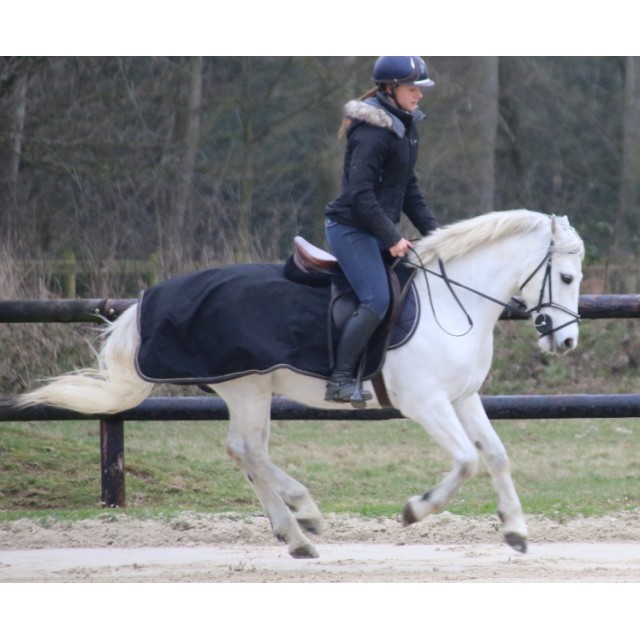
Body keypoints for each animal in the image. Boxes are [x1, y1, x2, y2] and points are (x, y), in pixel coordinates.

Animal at [15, 209, 585, 559]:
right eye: (567, 278)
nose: (566, 342)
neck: (452, 301)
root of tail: (151, 296)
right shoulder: (425, 403)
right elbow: (466, 460)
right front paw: (415, 510)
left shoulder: (461, 398)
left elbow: (496, 455)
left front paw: (515, 530)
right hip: (247, 386)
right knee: (249, 450)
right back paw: (304, 516)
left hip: (251, 391)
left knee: (245, 452)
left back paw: (293, 535)